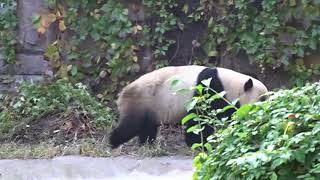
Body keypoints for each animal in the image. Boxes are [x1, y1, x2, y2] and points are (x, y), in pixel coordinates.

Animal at [109, 65, 268, 148]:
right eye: (263, 98)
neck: (230, 85)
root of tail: (121, 95)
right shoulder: (208, 89)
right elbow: (200, 118)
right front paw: (197, 143)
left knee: (147, 127)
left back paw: (148, 144)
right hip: (141, 100)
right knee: (131, 125)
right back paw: (113, 142)